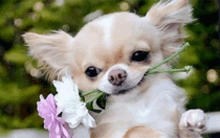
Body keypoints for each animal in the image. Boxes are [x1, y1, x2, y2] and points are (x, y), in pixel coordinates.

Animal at [23, 0, 207, 137]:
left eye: (139, 55)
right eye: (91, 71)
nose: (116, 75)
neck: (138, 106)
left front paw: (191, 119)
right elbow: (134, 129)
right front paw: (149, 131)